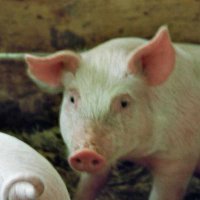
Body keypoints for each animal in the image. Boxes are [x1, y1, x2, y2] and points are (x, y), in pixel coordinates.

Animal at [25, 25, 200, 199]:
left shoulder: (178, 160)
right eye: (72, 98)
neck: (137, 154)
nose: (86, 153)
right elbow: (90, 184)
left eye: (124, 103)